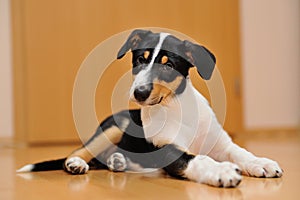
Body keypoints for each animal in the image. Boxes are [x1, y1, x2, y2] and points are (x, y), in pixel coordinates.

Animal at [17, 29, 282, 188]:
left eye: (168, 66)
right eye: (140, 60)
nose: (139, 93)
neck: (176, 108)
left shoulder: (222, 144)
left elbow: (241, 152)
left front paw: (261, 163)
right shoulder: (168, 150)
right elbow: (199, 159)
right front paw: (222, 172)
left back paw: (117, 161)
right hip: (113, 127)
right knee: (79, 152)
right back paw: (77, 164)